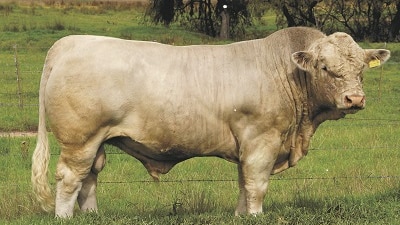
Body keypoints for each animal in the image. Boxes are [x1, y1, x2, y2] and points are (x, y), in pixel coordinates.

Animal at [32, 26, 390, 218]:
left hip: (96, 140)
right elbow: (257, 183)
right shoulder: (262, 139)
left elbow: (244, 182)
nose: (354, 99)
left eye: (361, 68)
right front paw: (256, 215)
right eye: (325, 68)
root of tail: (72, 42)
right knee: (70, 177)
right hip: (80, 138)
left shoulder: (248, 143)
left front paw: (242, 216)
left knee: (90, 176)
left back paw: (93, 215)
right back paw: (64, 217)